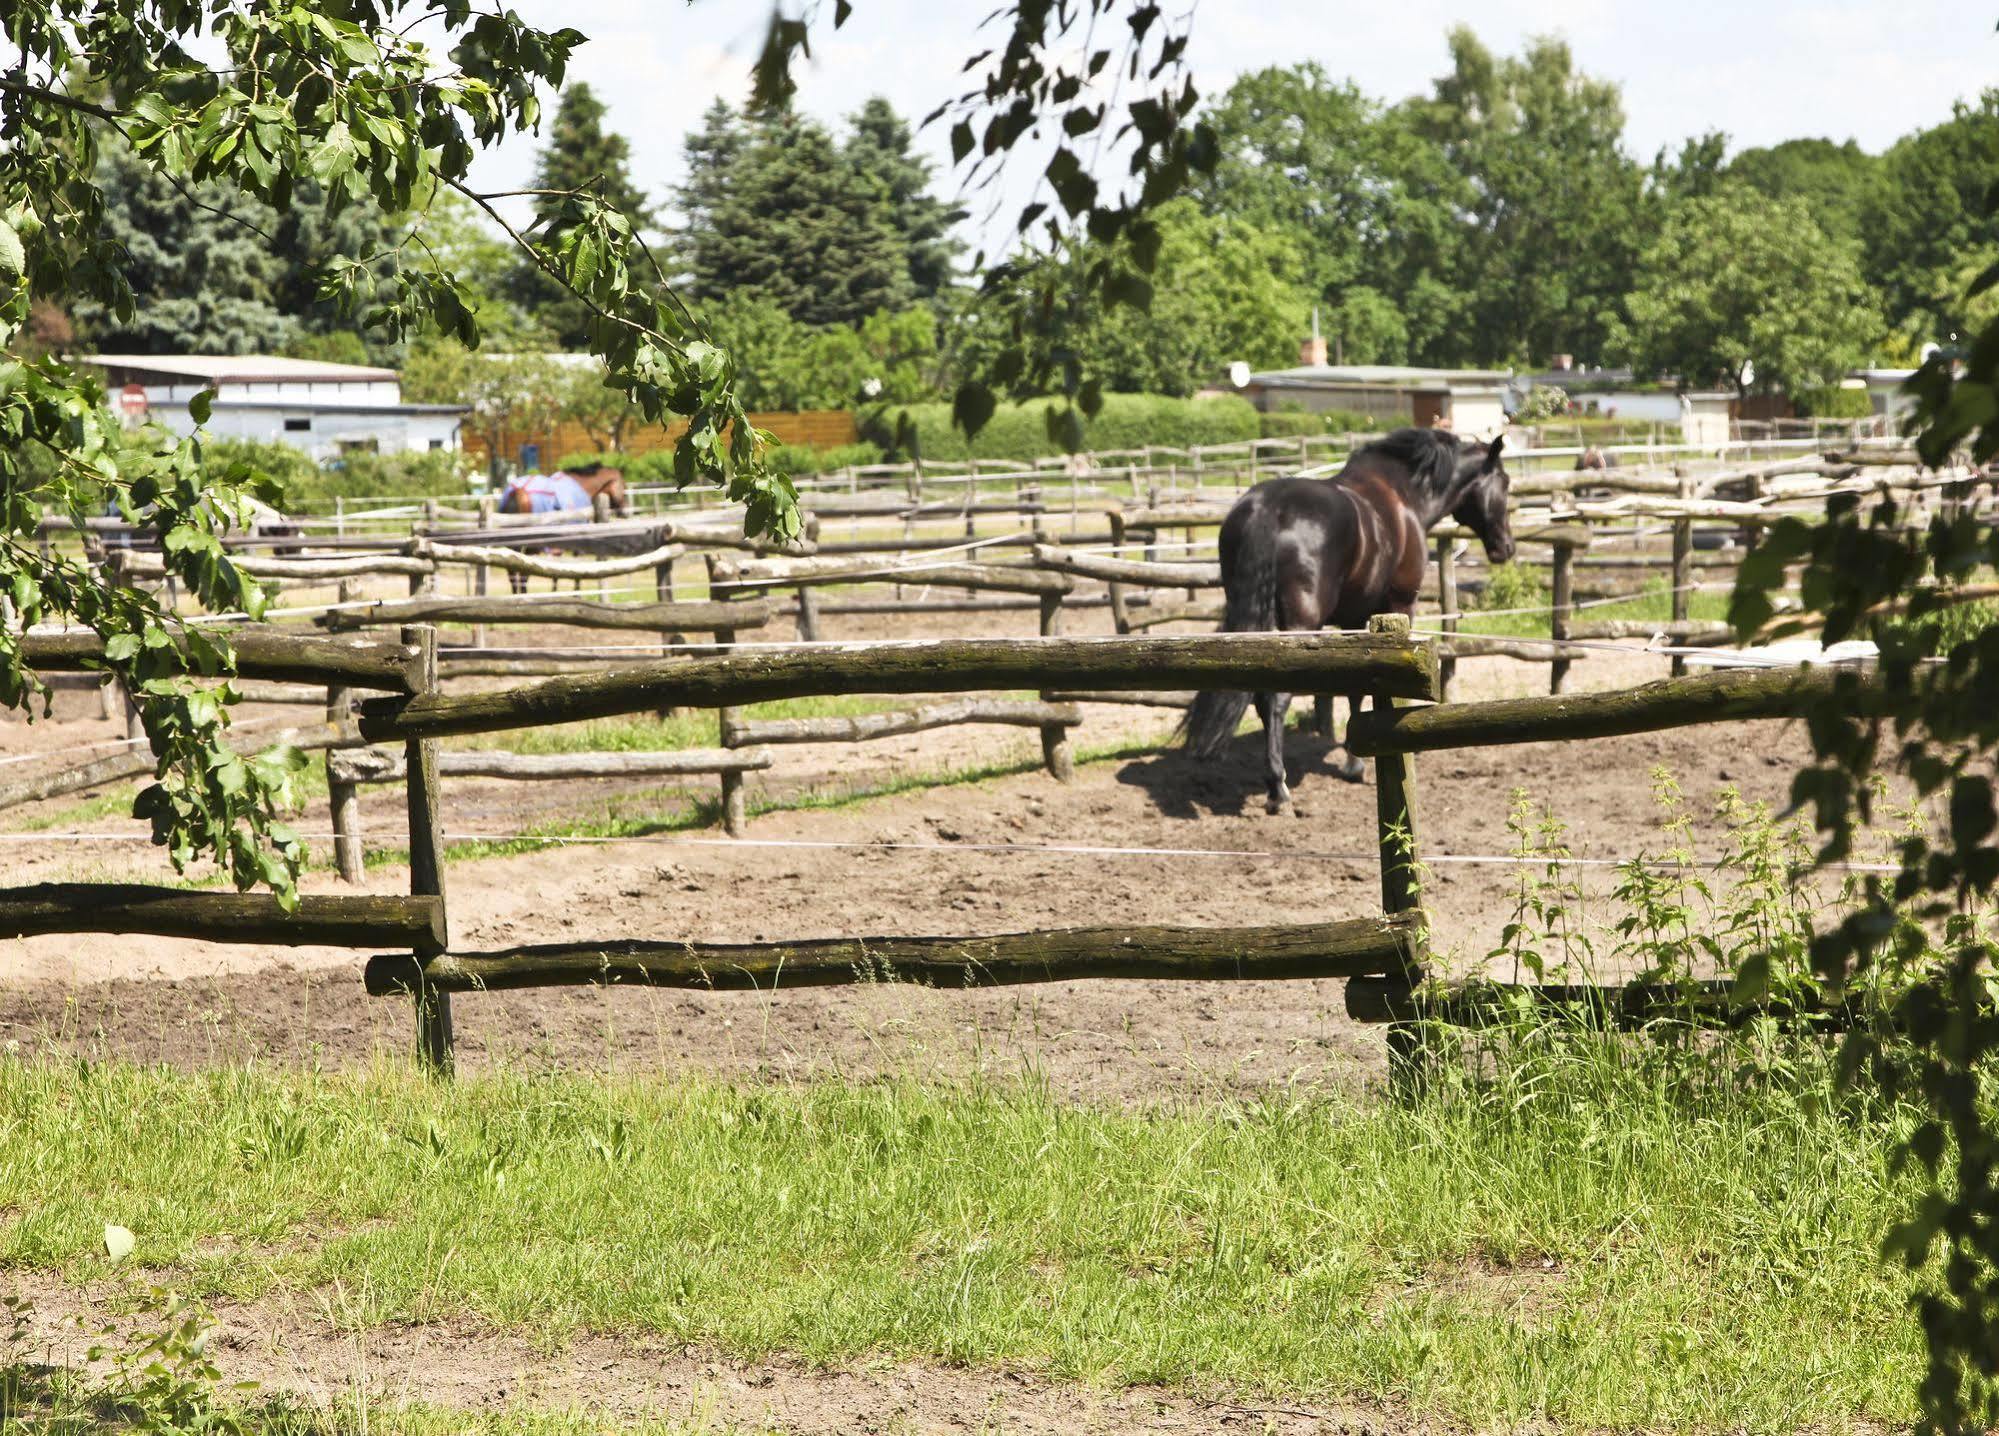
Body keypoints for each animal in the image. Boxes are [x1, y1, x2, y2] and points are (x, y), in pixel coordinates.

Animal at [1167, 424, 1511, 808]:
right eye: (1506, 482)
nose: (1506, 547)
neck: (1404, 496)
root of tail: (1267, 509)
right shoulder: (1399, 605)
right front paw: (1356, 763)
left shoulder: (1351, 620)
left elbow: (1354, 689)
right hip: (1300, 625)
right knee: (1275, 699)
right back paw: (1278, 788)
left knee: (1259, 694)